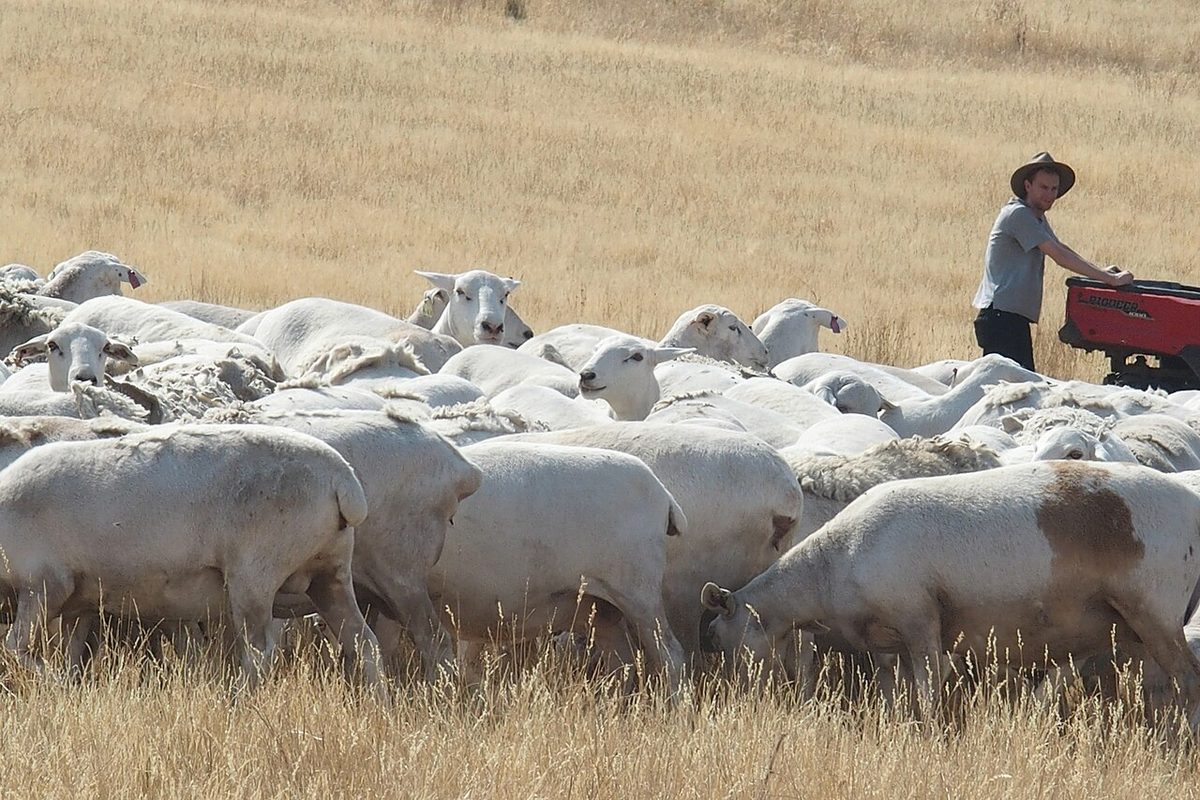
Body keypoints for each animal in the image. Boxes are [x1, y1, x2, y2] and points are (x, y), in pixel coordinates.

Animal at [0, 423, 383, 692]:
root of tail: (342, 479)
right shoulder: (81, 602)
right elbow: (72, 655)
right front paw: (69, 689)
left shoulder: (45, 585)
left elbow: (16, 647)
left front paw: (54, 683)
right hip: (329, 573)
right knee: (363, 643)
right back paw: (379, 706)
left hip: (254, 576)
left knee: (259, 653)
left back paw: (236, 702)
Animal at [701, 461, 1200, 720]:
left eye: (720, 639)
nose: (735, 697)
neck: (828, 568)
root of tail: (1192, 505)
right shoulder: (889, 641)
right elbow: (897, 692)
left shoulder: (919, 619)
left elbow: (929, 691)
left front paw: (933, 735)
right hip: (1135, 626)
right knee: (1162, 687)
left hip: (1155, 610)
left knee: (1189, 680)